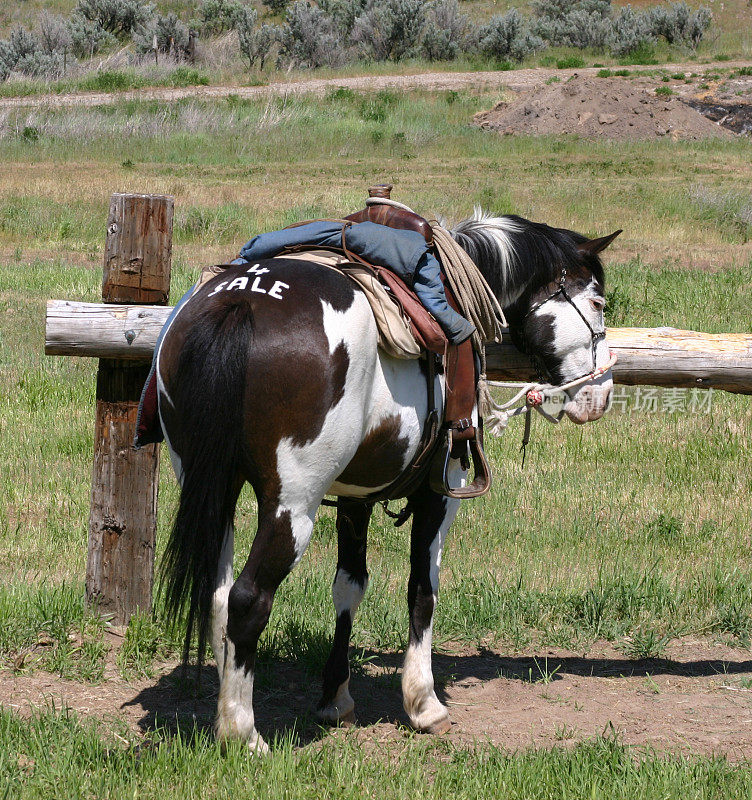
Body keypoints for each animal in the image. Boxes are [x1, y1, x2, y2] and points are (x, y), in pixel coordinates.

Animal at [154, 211, 616, 752]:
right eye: (598, 302)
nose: (602, 395)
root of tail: (240, 302)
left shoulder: (356, 495)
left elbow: (348, 586)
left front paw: (335, 698)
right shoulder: (441, 490)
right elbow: (423, 589)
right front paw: (424, 703)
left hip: (212, 486)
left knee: (218, 595)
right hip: (293, 506)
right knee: (248, 599)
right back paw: (242, 733)